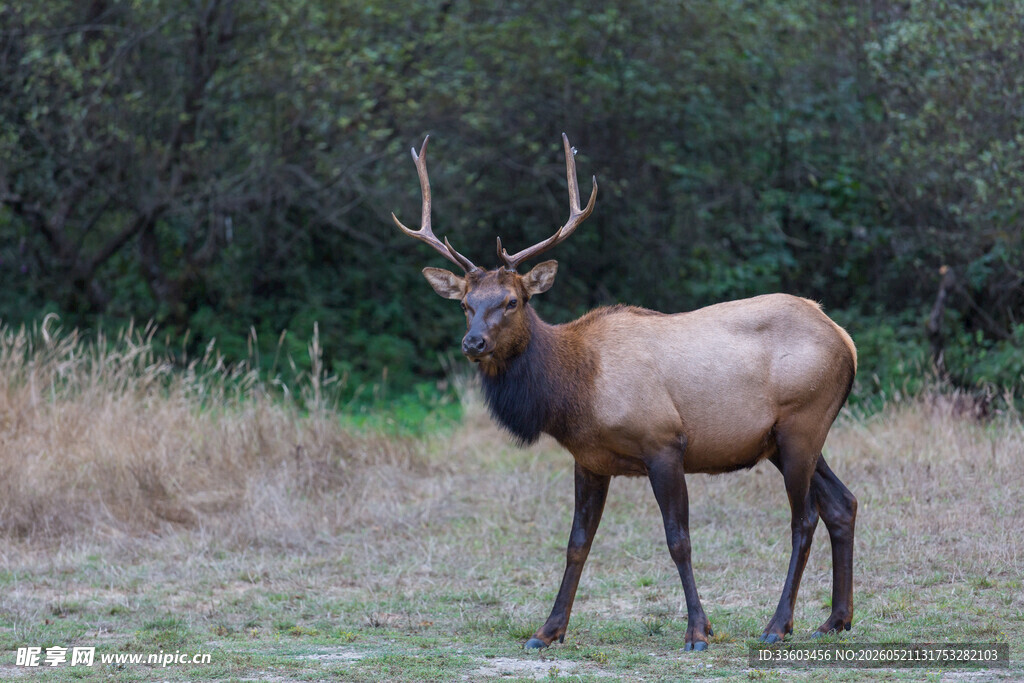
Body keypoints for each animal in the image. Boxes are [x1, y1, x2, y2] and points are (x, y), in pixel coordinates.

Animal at [392, 134, 858, 652]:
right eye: (465, 304)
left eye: (512, 301)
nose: (472, 343)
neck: (573, 392)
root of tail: (845, 340)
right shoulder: (590, 460)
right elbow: (577, 544)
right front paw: (547, 630)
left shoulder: (664, 443)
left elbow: (678, 539)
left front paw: (698, 631)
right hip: (785, 439)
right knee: (842, 504)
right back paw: (835, 619)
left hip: (802, 424)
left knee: (804, 518)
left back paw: (778, 624)